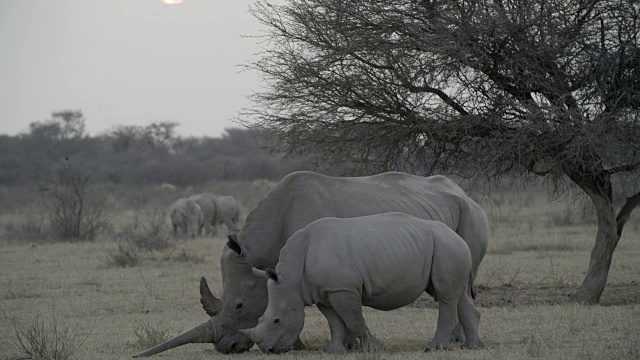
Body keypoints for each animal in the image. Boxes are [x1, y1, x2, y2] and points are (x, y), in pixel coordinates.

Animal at [240, 212, 484, 352]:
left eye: (277, 321)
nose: (268, 350)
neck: (291, 278)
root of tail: (457, 236)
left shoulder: (342, 289)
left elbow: (353, 319)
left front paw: (374, 348)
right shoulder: (323, 291)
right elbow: (334, 321)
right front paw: (331, 351)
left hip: (447, 246)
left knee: (444, 296)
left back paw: (433, 348)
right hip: (446, 247)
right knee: (453, 294)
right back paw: (473, 347)